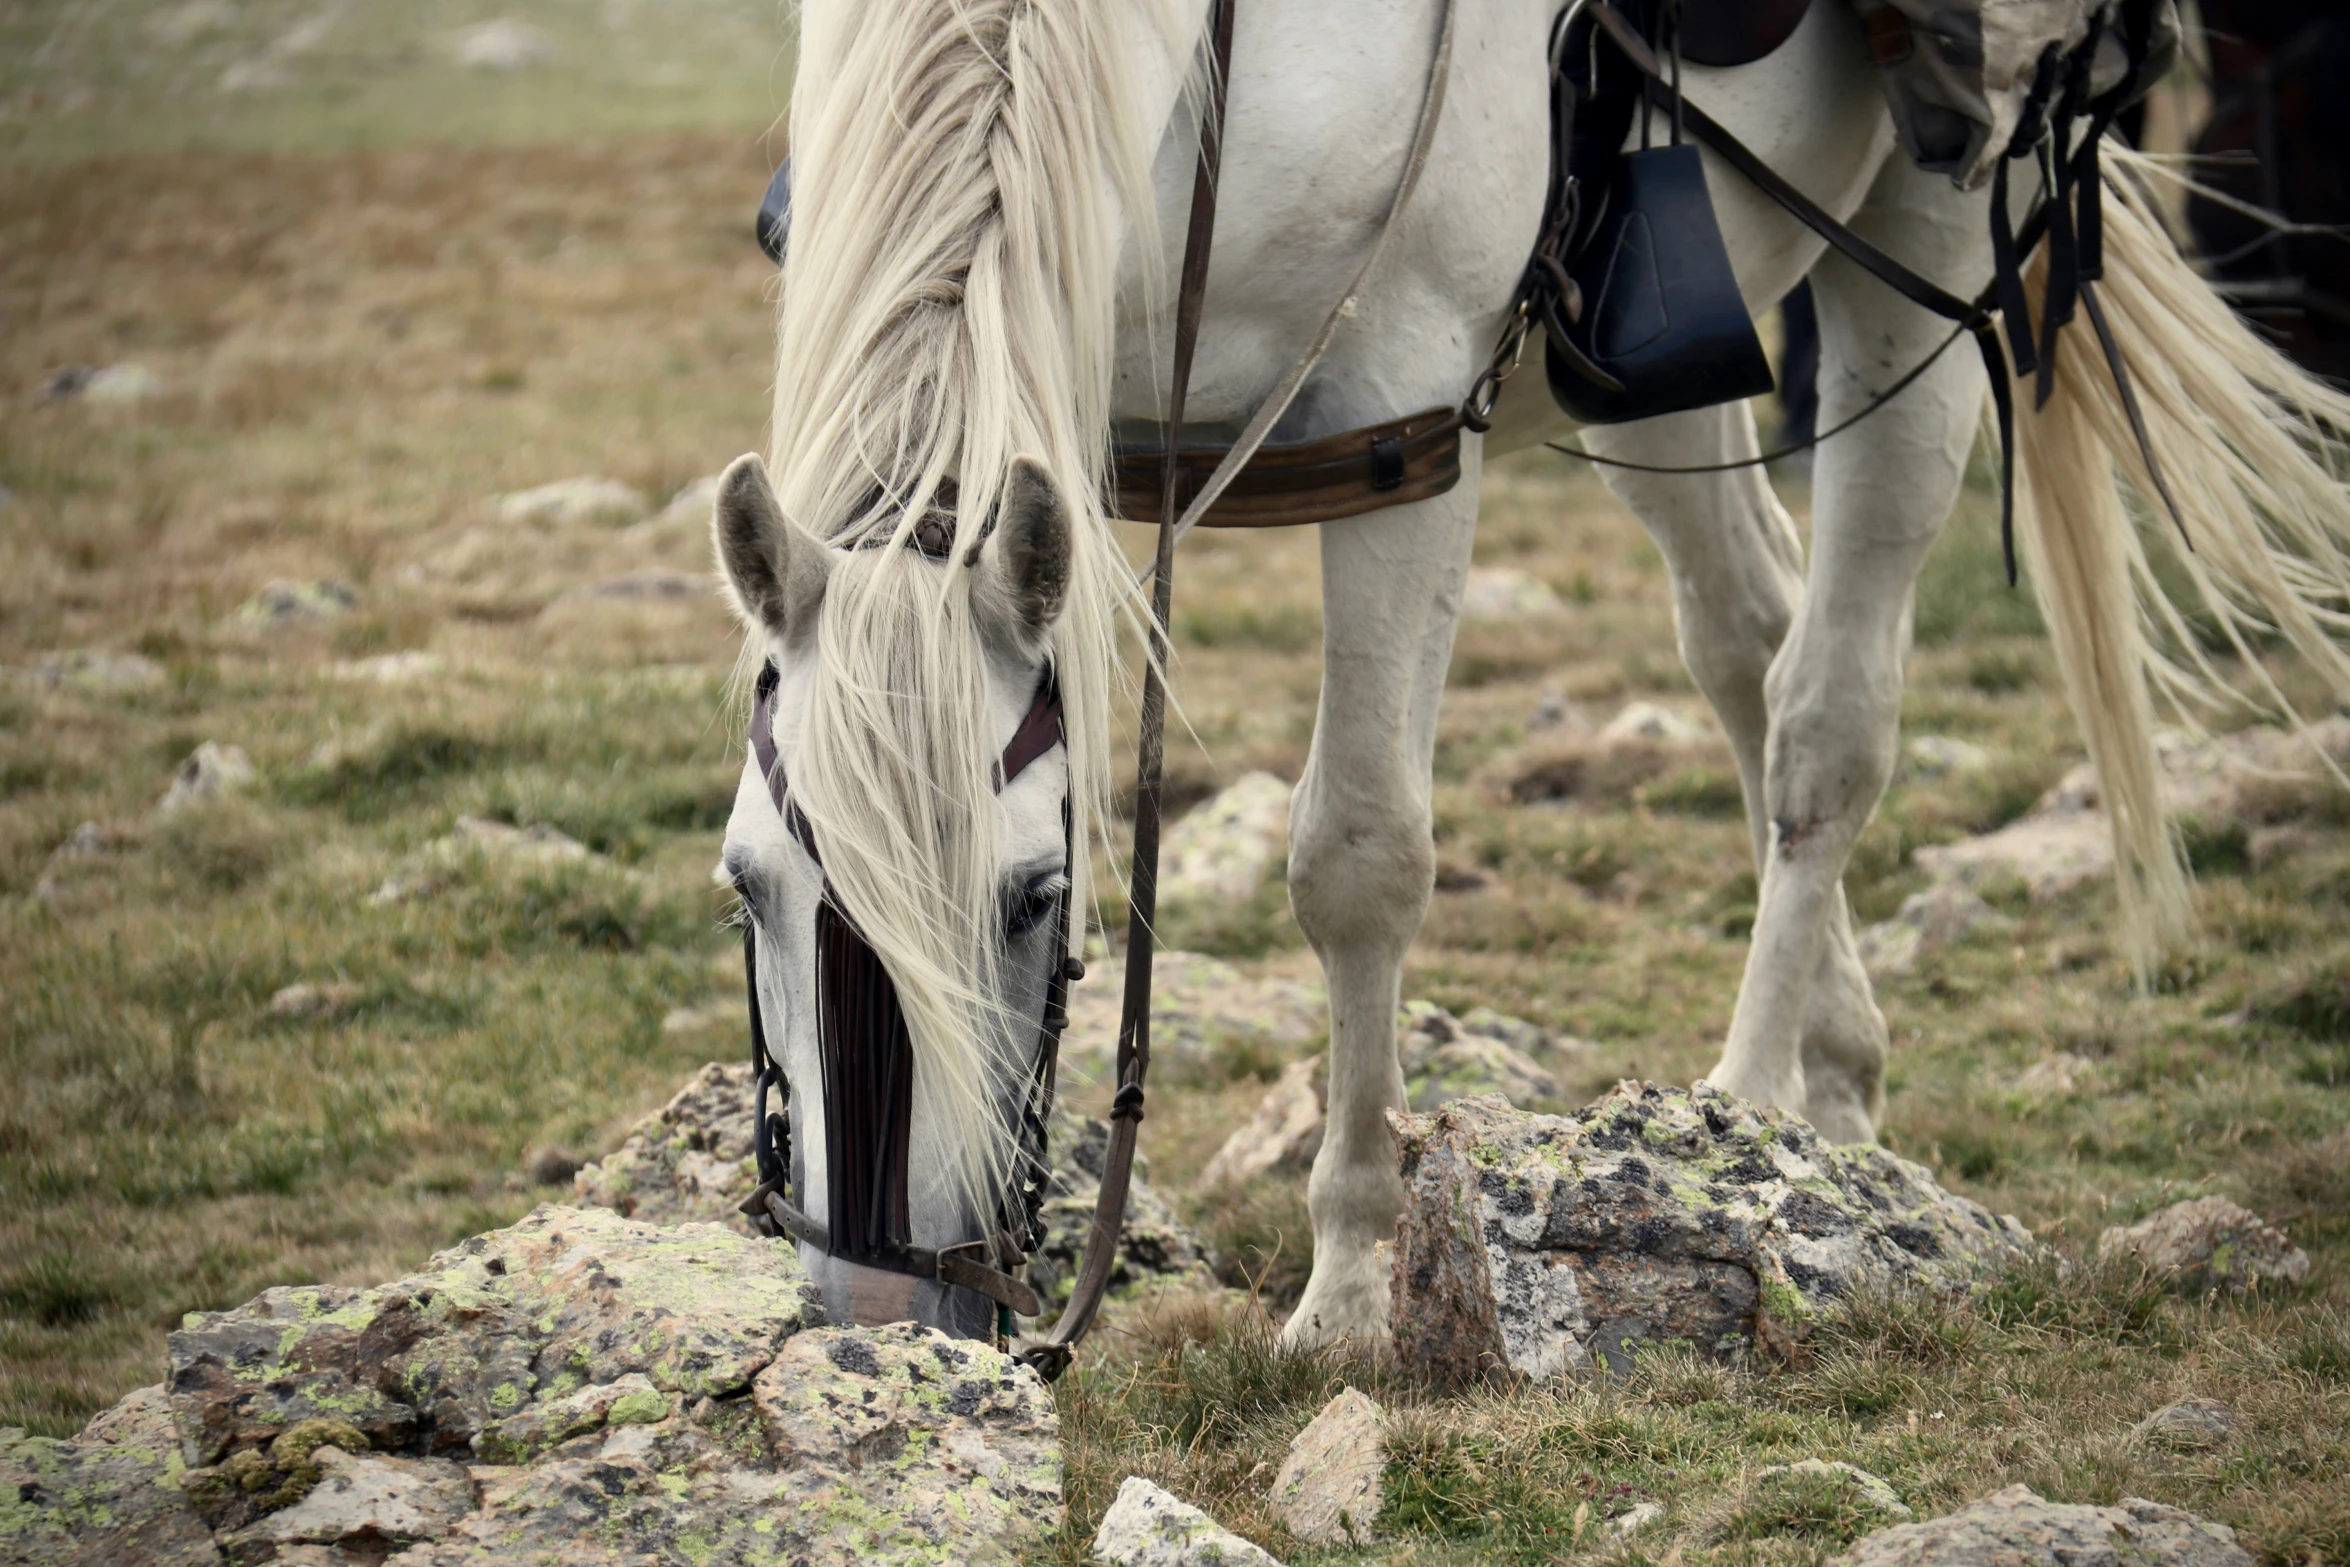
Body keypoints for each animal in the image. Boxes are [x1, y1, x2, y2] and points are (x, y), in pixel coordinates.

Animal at [709, 0, 2350, 1353]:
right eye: (744, 889)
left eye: (1035, 896)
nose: (878, 1318)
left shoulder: (1399, 423)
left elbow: (1357, 855)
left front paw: (1352, 1281)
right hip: (1653, 346)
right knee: (1744, 639)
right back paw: (1833, 1079)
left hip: (1924, 245)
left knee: (1828, 715)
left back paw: (1753, 1108)